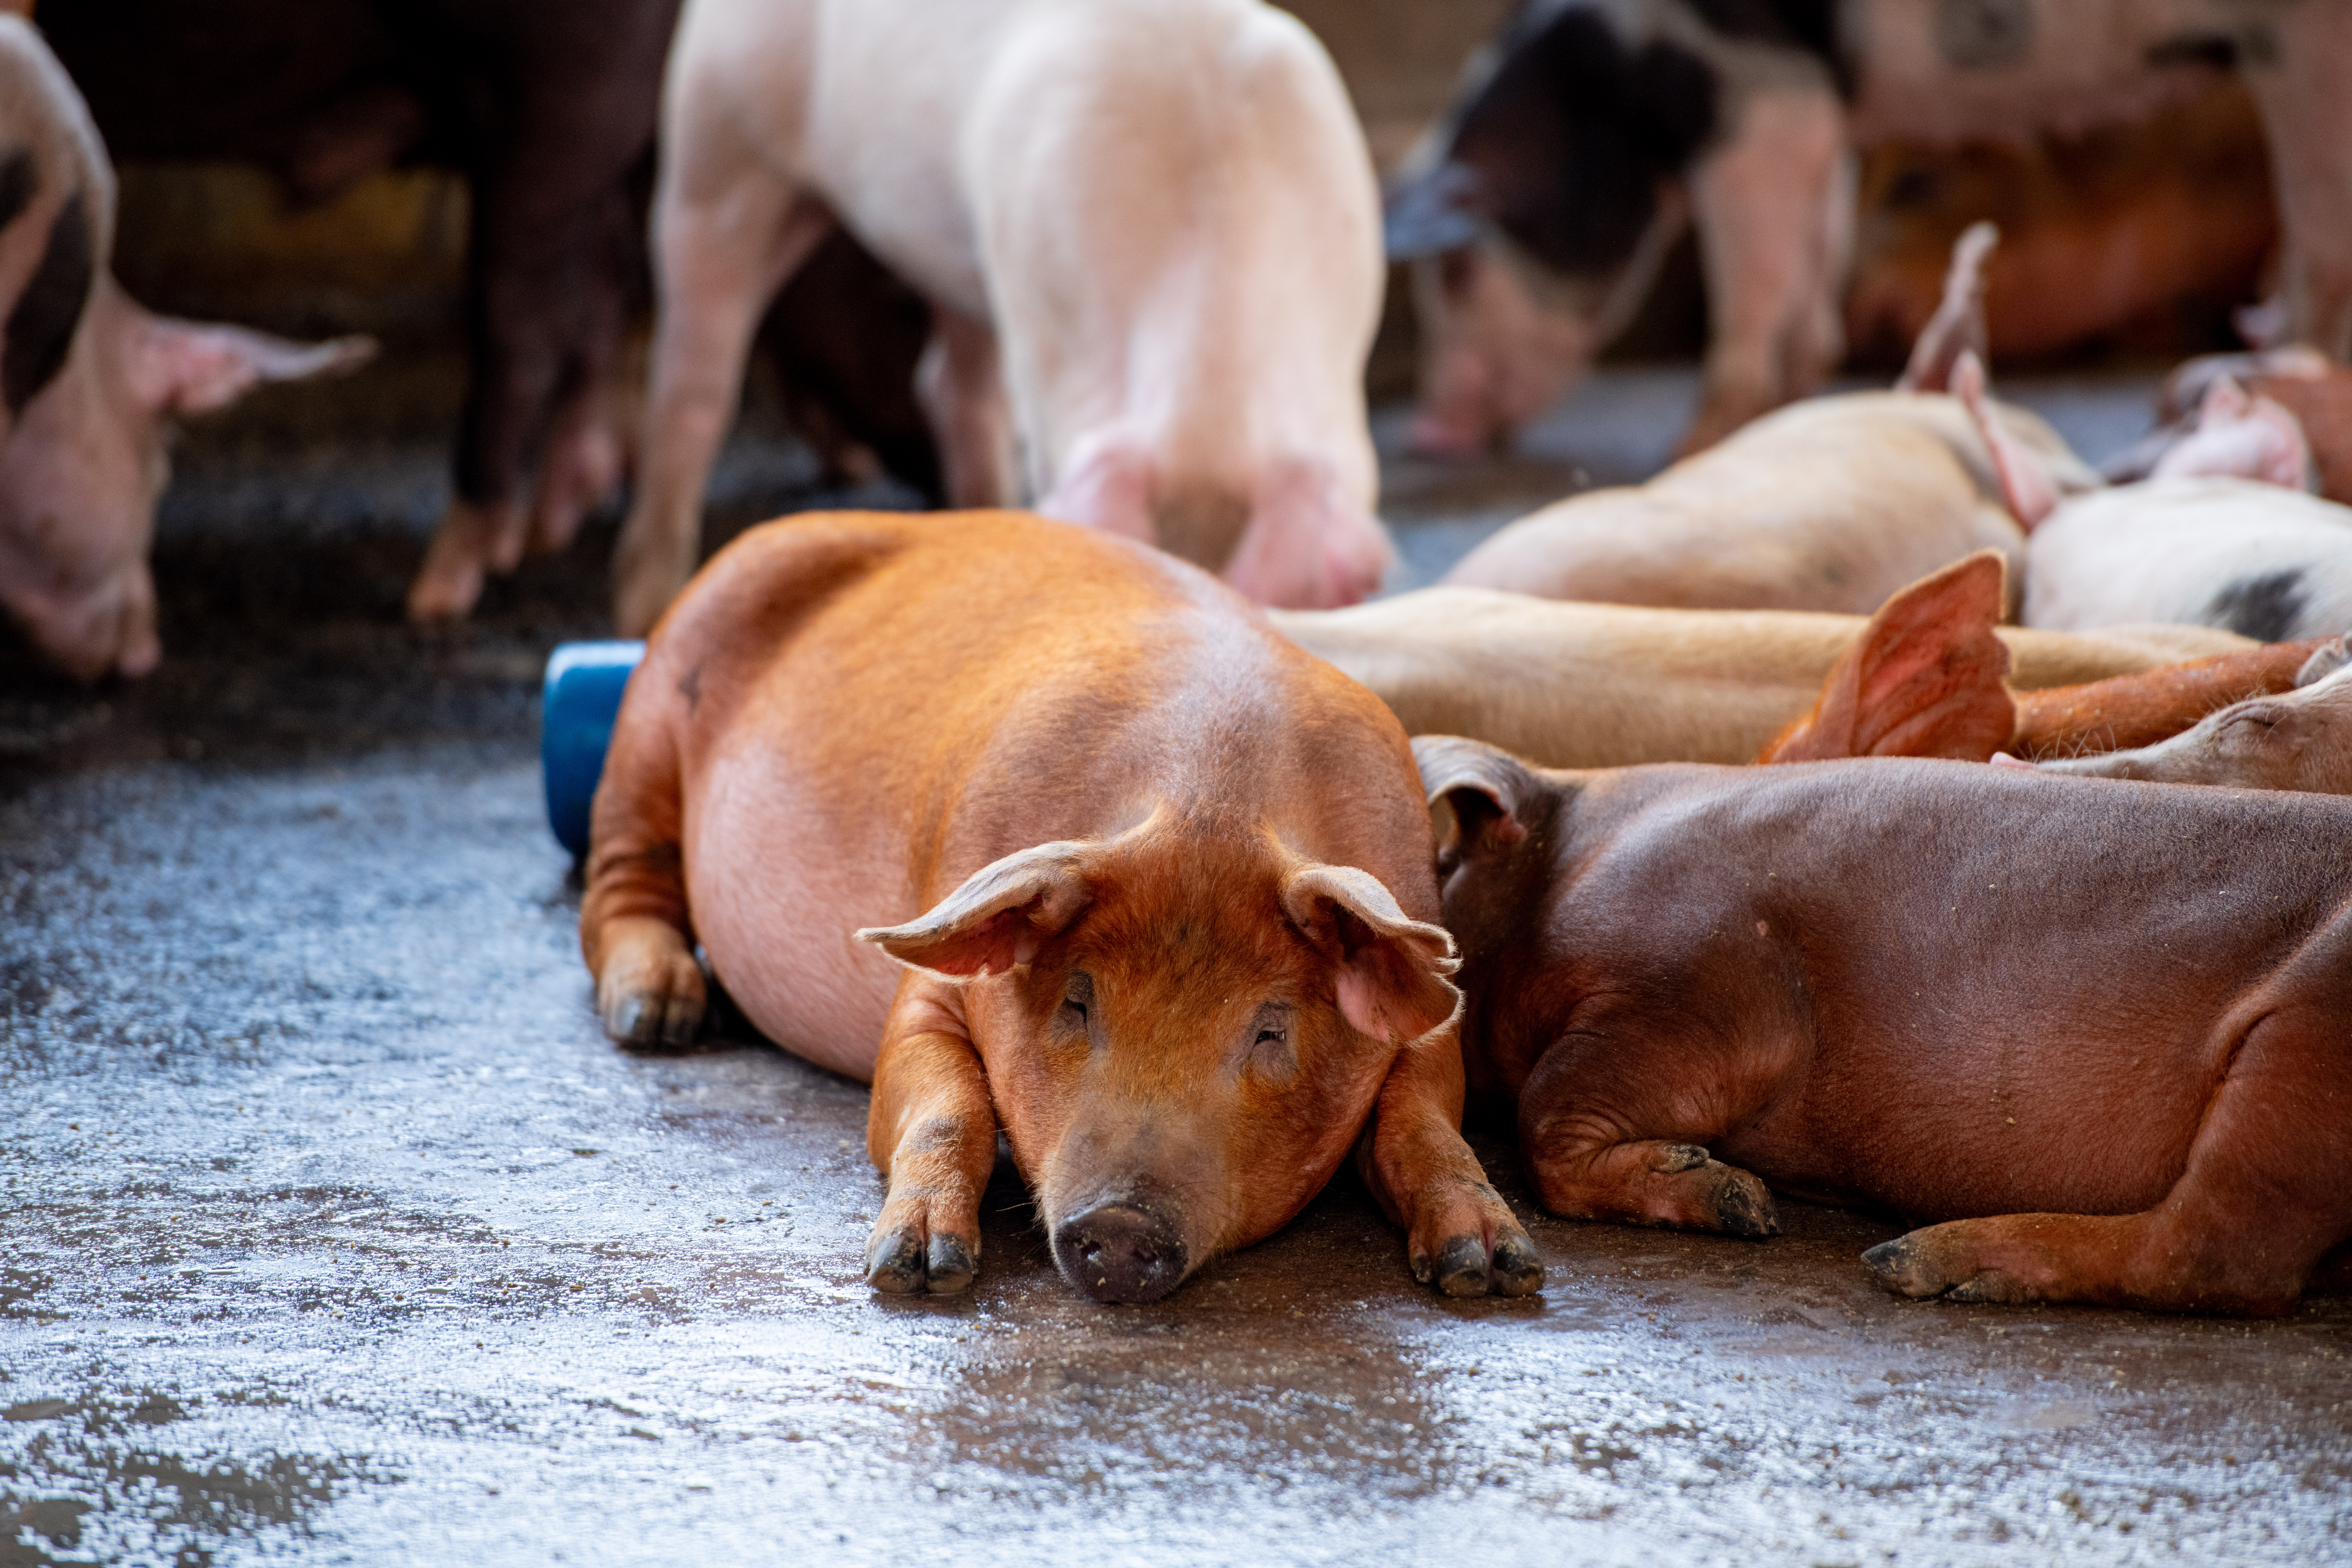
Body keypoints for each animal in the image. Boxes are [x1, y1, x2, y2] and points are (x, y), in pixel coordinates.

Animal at [580, 509, 1541, 1303]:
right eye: (1076, 1001)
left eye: (1270, 1029)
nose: (1117, 1224)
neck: (1216, 804)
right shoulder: (930, 984)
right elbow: (946, 1104)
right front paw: (917, 1271)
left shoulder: (1427, 1025)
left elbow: (1423, 1122)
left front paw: (1492, 1271)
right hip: (650, 717)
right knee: (616, 885)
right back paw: (658, 1017)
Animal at [610, 0, 1391, 635]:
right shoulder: (1044, 334)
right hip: (716, 143)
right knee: (692, 380)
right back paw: (645, 609)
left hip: (960, 257)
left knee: (950, 387)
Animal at [1393, 0, 2352, 457]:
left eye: (1457, 273)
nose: (1427, 429)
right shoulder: (1819, 123)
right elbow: (1811, 273)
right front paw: (1782, 414)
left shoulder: (1763, 104)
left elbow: (1754, 283)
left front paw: (1693, 442)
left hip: (2304, 50)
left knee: (2318, 226)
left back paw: (2279, 365)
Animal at [1418, 736, 2352, 1315]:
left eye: (1441, 865)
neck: (1566, 867)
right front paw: (1741, 1195)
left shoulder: (1700, 984)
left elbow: (1546, 1118)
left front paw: (1743, 1203)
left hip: (2303, 1042)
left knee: (2221, 1253)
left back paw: (1915, 1263)